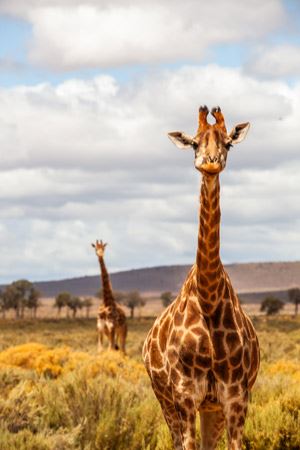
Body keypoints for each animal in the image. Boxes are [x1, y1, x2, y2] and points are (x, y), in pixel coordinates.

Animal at [143, 106, 260, 450]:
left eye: (228, 143)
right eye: (195, 143)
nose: (210, 162)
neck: (208, 297)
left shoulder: (235, 397)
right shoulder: (184, 396)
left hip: (211, 408)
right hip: (166, 401)